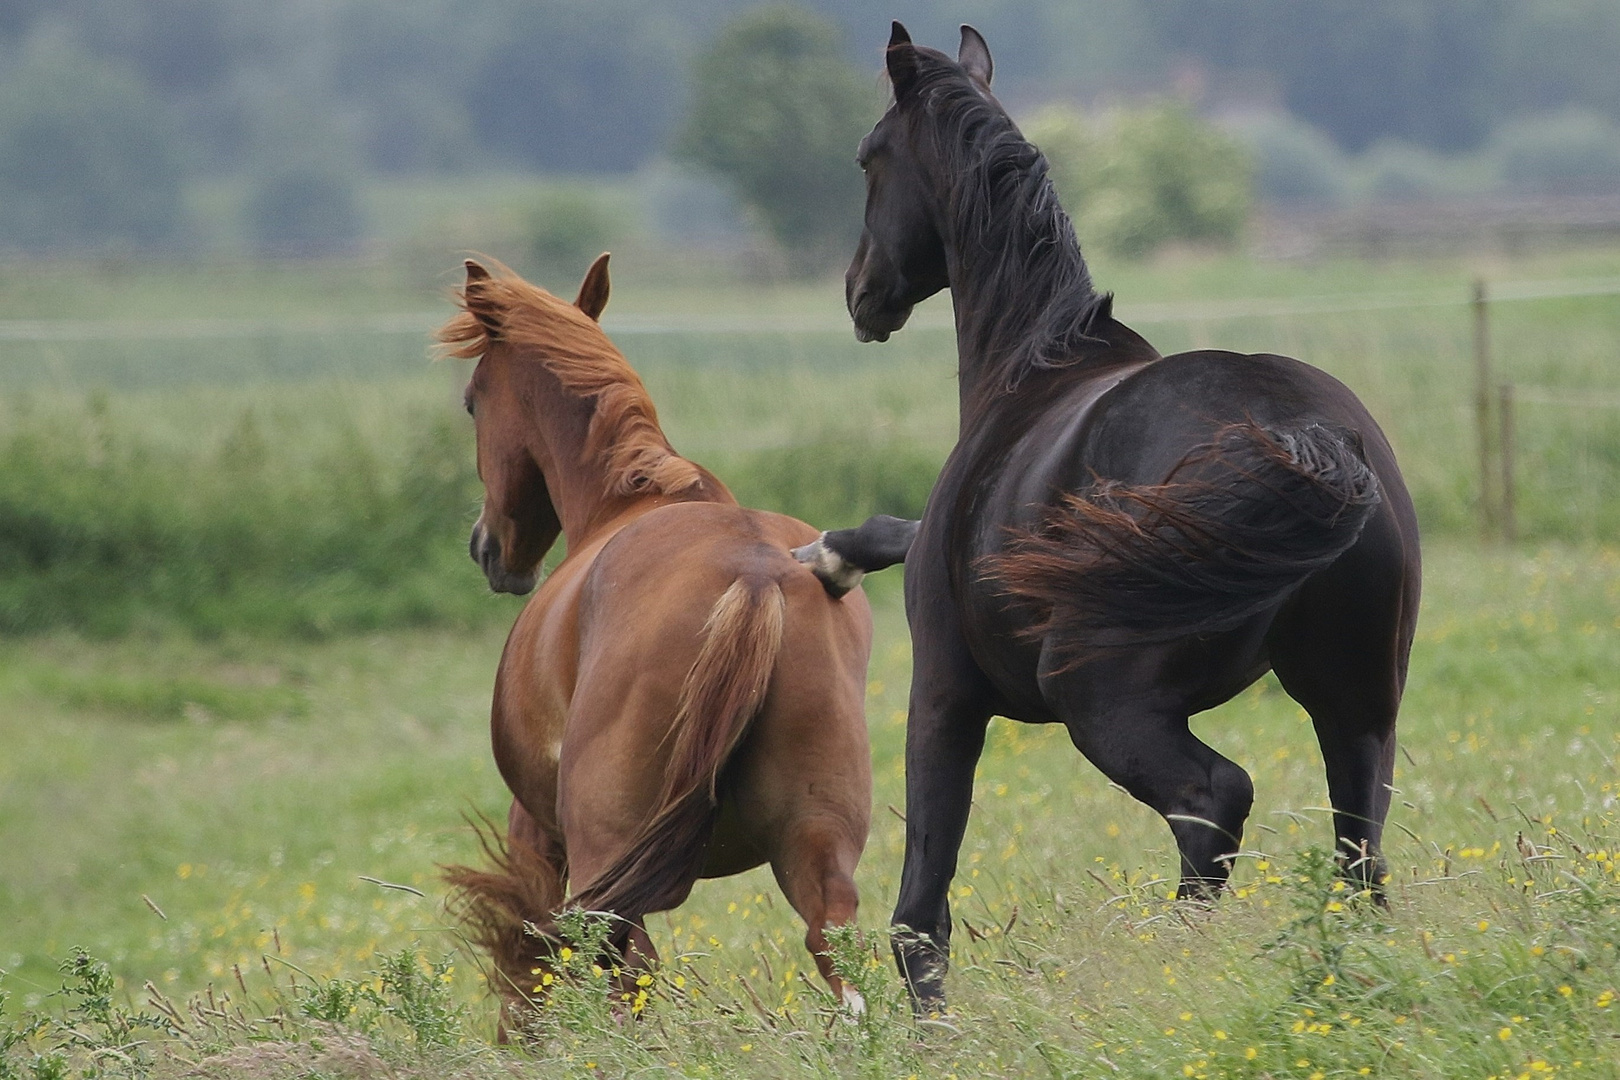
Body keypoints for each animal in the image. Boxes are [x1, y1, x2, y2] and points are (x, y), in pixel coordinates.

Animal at [437, 255, 874, 1023]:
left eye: (471, 403)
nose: (488, 549)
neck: (631, 503)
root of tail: (755, 577)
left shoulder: (536, 832)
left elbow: (530, 971)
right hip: (818, 842)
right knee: (837, 951)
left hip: (606, 863)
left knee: (623, 970)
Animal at [848, 21, 1419, 1016]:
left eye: (870, 157)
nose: (859, 292)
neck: (1027, 371)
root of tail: (1306, 433)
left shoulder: (943, 692)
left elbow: (920, 905)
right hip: (1356, 710)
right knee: (1358, 857)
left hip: (1103, 702)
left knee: (1215, 803)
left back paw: (1177, 970)